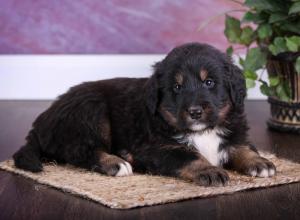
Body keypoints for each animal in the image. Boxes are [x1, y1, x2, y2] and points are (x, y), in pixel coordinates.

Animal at [12, 43, 276, 186]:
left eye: (209, 82)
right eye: (177, 87)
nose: (195, 112)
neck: (203, 132)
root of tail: (43, 119)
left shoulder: (234, 131)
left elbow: (242, 147)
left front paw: (259, 162)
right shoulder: (158, 147)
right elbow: (189, 156)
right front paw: (209, 170)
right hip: (91, 110)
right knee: (81, 151)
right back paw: (116, 162)